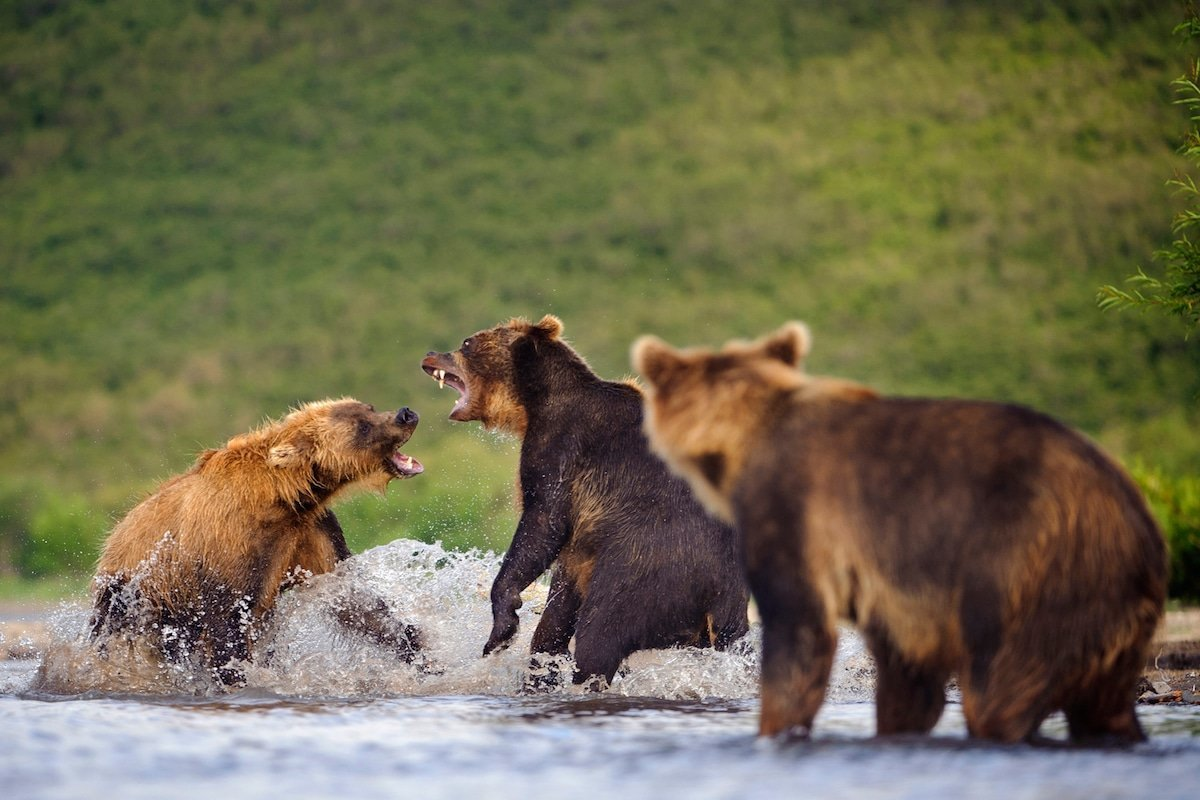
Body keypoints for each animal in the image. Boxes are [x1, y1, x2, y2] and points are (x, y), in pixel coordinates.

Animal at [90, 398, 427, 686]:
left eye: (369, 408)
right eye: (363, 426)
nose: (406, 414)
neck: (285, 499)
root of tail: (114, 535)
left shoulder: (312, 533)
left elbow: (356, 602)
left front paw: (421, 653)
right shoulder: (232, 547)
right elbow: (226, 630)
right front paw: (236, 676)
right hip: (135, 597)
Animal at [633, 321, 1166, 743]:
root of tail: (1139, 520)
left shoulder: (798, 516)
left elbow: (799, 633)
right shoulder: (895, 589)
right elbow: (905, 674)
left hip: (1029, 574)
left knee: (1003, 687)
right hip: (1109, 612)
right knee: (1105, 706)